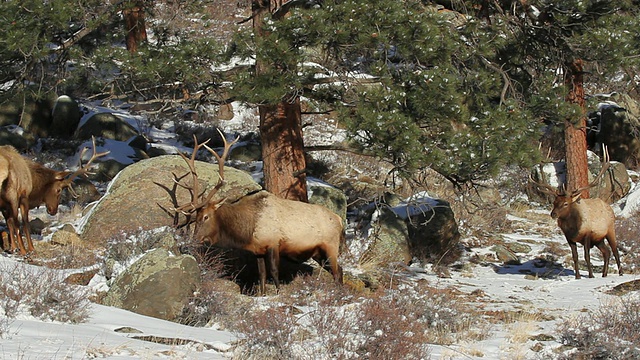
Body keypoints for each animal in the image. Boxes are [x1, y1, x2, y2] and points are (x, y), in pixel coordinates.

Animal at [172, 132, 342, 296]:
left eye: (206, 216)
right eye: (196, 218)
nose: (195, 239)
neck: (248, 230)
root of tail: (340, 220)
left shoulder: (273, 243)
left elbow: (274, 271)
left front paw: (277, 293)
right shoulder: (258, 251)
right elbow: (262, 275)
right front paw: (263, 294)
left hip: (331, 245)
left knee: (337, 271)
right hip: (317, 252)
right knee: (337, 270)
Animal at [528, 149, 624, 278]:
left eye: (565, 204)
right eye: (554, 202)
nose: (553, 214)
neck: (573, 227)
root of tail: (609, 207)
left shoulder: (588, 234)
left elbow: (587, 257)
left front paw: (591, 276)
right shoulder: (569, 238)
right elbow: (575, 257)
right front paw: (578, 277)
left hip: (610, 229)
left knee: (615, 250)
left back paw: (621, 273)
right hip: (598, 239)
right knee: (606, 252)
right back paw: (604, 274)